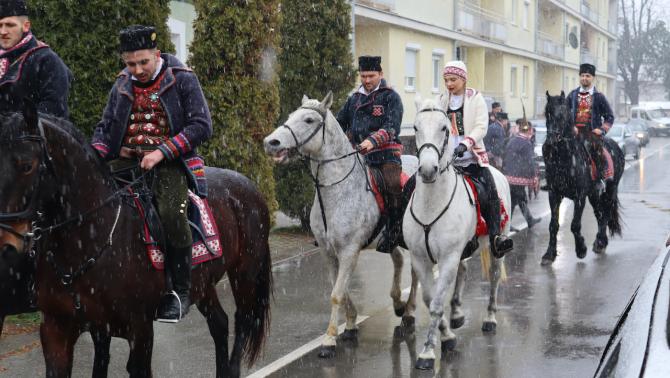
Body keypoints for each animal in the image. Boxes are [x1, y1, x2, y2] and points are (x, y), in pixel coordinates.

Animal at [0, 106, 272, 378]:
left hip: (245, 273)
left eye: (27, 166)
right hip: (203, 284)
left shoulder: (139, 329)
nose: (6, 245)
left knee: (244, 319)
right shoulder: (59, 329)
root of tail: (249, 185)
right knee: (219, 323)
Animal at [264, 91, 418, 358]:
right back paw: (398, 303)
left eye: (308, 120)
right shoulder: (330, 252)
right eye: (291, 115)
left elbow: (337, 294)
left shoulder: (348, 251)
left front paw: (328, 340)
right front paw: (351, 325)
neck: (337, 189)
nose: (271, 142)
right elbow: (341, 289)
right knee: (398, 260)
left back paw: (408, 314)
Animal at [406, 96, 512, 370]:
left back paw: (489, 318)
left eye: (444, 128)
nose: (428, 169)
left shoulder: (448, 258)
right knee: (463, 271)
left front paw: (427, 352)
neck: (431, 204)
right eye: (415, 127)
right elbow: (429, 299)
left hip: (496, 245)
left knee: (494, 277)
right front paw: (446, 336)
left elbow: (435, 304)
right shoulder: (421, 259)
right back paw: (456, 313)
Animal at [540, 91, 624, 264]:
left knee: (605, 213)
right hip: (594, 195)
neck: (564, 159)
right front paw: (549, 254)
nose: (550, 142)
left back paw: (599, 242)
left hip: (611, 189)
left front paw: (581, 249)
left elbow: (574, 225)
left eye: (562, 114)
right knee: (599, 214)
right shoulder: (554, 194)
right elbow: (553, 225)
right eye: (547, 113)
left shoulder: (580, 196)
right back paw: (601, 242)